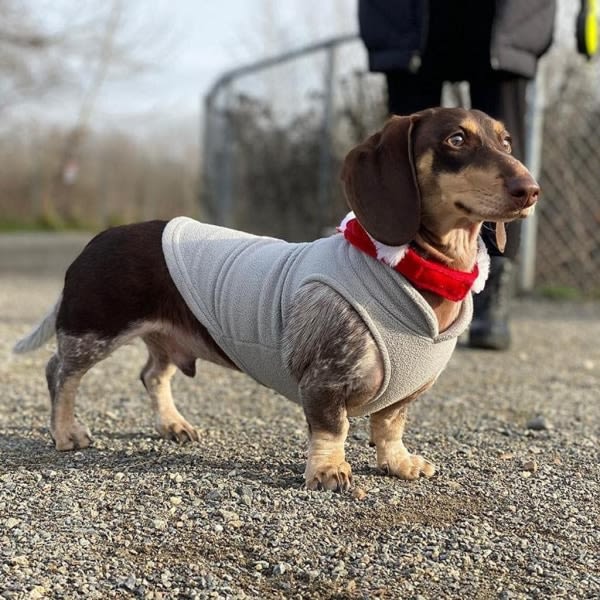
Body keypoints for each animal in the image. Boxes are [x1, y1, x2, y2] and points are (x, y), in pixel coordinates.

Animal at [14, 108, 540, 492]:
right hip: (93, 330)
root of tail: (98, 239)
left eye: (506, 141)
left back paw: (174, 425)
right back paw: (66, 432)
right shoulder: (325, 380)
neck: (414, 272)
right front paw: (329, 471)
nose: (530, 189)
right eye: (456, 139)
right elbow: (332, 429)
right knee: (60, 373)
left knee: (152, 375)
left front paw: (399, 463)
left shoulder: (403, 397)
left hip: (164, 335)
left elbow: (390, 426)